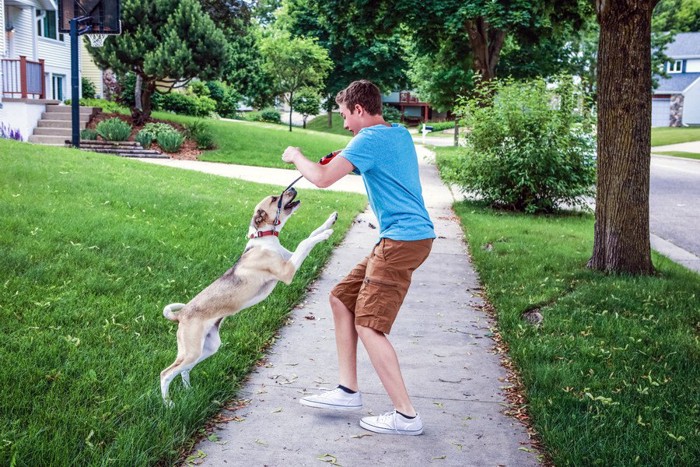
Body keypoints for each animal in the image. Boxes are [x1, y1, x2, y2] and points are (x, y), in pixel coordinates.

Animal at [161, 188, 336, 404]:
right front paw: (327, 233)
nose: (293, 189)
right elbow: (305, 242)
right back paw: (168, 404)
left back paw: (189, 391)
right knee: (166, 373)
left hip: (207, 348)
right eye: (274, 199)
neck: (264, 239)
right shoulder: (287, 270)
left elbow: (310, 235)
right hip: (192, 350)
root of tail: (181, 315)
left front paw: (330, 221)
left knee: (184, 370)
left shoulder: (288, 258)